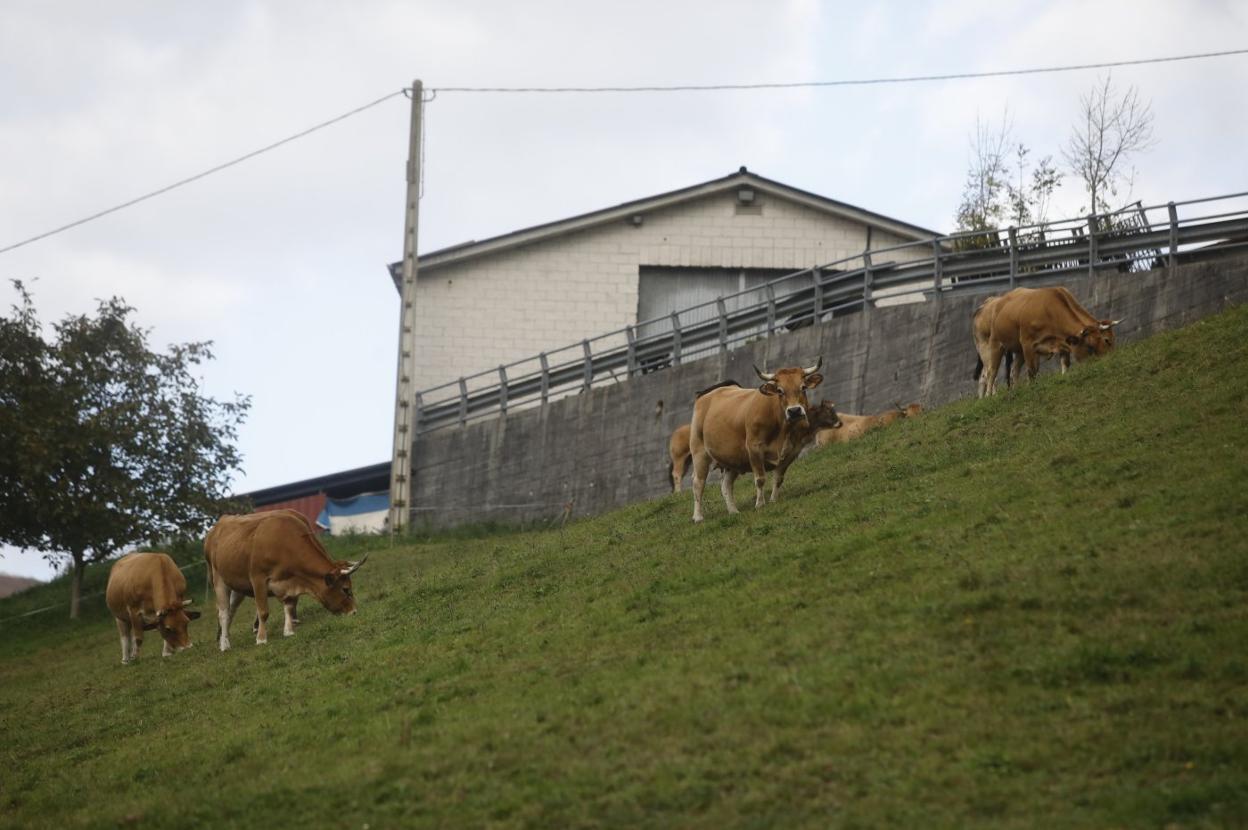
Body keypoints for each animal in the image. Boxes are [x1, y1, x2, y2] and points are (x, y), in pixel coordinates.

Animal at [203, 509, 364, 649]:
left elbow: (289, 605)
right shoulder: (258, 579)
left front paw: (288, 630)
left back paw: (223, 636)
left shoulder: (290, 580)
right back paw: (225, 644)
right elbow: (263, 611)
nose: (354, 611)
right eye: (345, 589)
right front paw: (261, 639)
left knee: (231, 609)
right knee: (223, 612)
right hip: (218, 580)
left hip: (237, 584)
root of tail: (218, 526)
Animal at [973, 284, 1123, 394]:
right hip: (993, 346)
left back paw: (1015, 390)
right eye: (1106, 340)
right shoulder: (1028, 345)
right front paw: (1032, 388)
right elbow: (1032, 371)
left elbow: (1065, 364)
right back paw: (990, 396)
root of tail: (993, 302)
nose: (1109, 360)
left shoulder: (1063, 344)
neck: (1050, 310)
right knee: (990, 374)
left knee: (1013, 371)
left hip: (1017, 350)